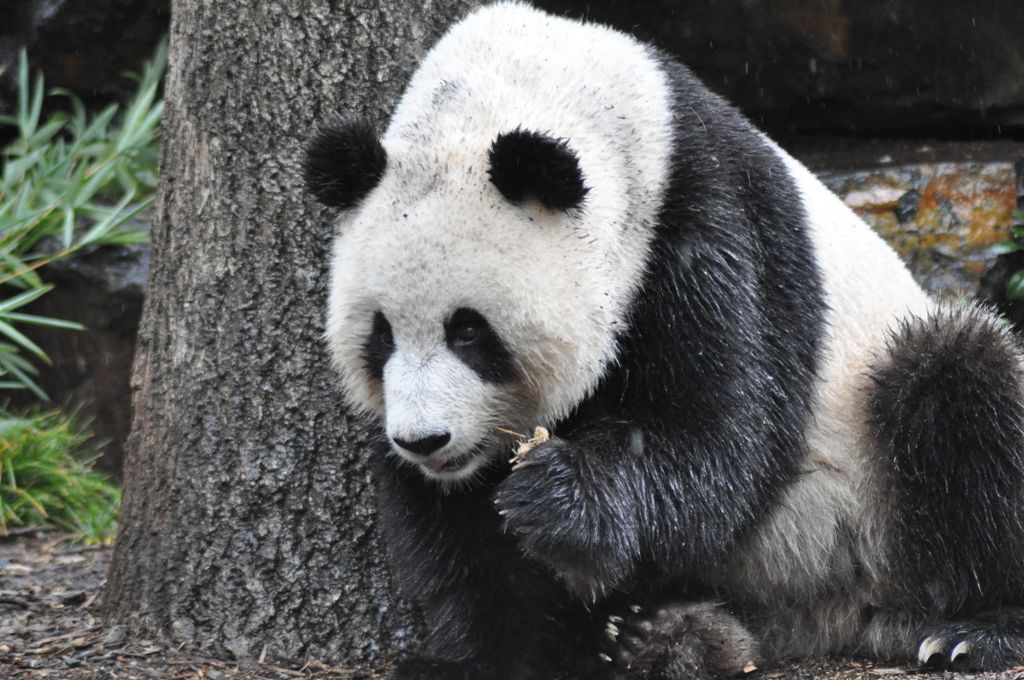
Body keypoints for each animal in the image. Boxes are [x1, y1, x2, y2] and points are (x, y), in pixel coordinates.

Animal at [303, 3, 1024, 679]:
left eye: (470, 330)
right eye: (381, 336)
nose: (424, 441)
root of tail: (848, 613)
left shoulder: (707, 225)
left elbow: (723, 437)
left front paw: (556, 495)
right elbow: (458, 530)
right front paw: (471, 657)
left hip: (872, 475)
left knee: (963, 382)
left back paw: (973, 631)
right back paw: (665, 636)